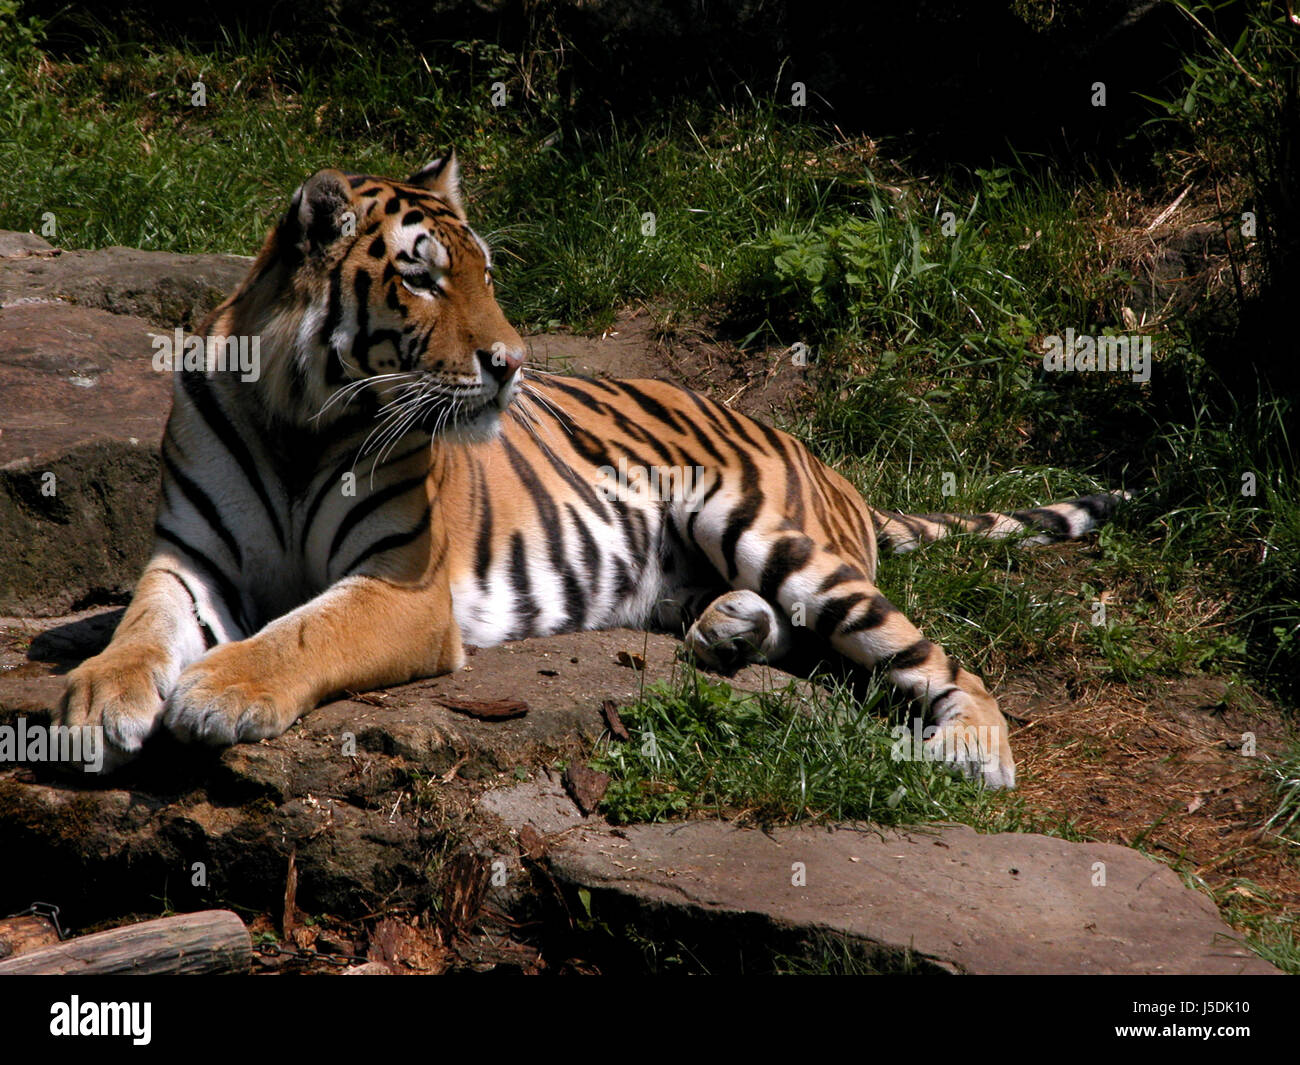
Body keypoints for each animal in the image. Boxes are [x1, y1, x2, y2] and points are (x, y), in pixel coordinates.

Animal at [55, 155, 1124, 788]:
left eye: (485, 272)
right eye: (423, 276)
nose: (513, 362)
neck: (297, 413)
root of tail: (832, 467)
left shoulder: (403, 587)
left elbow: (303, 632)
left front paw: (220, 688)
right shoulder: (189, 561)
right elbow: (140, 626)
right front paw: (95, 702)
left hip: (767, 530)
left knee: (935, 656)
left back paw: (972, 749)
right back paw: (729, 628)